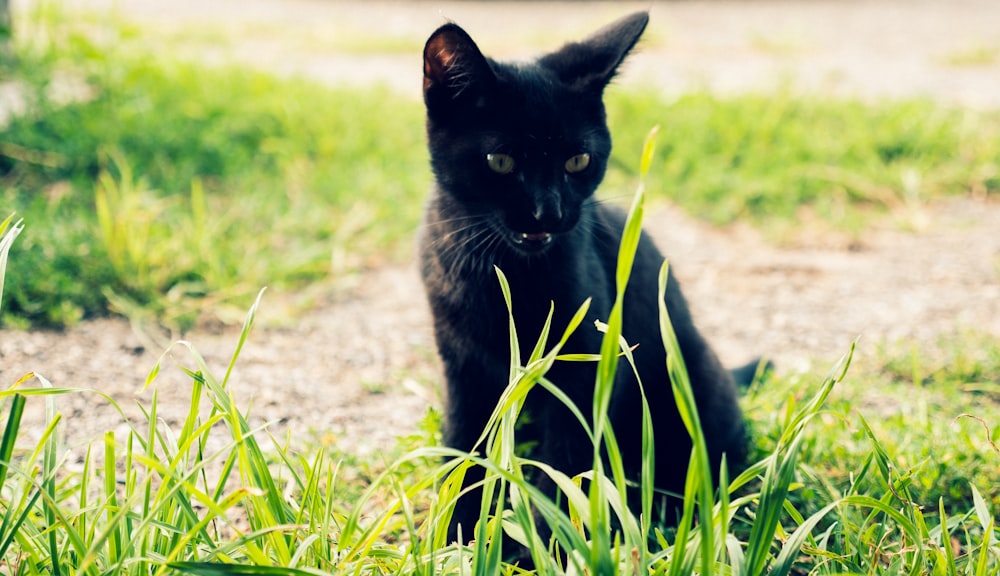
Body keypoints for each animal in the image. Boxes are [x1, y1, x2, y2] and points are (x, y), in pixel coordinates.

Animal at [418, 12, 752, 544]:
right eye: (500, 161)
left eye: (578, 161)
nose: (548, 213)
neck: (506, 274)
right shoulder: (461, 366)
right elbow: (463, 444)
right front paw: (457, 532)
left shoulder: (586, 365)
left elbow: (567, 461)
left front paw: (547, 542)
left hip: (689, 377)